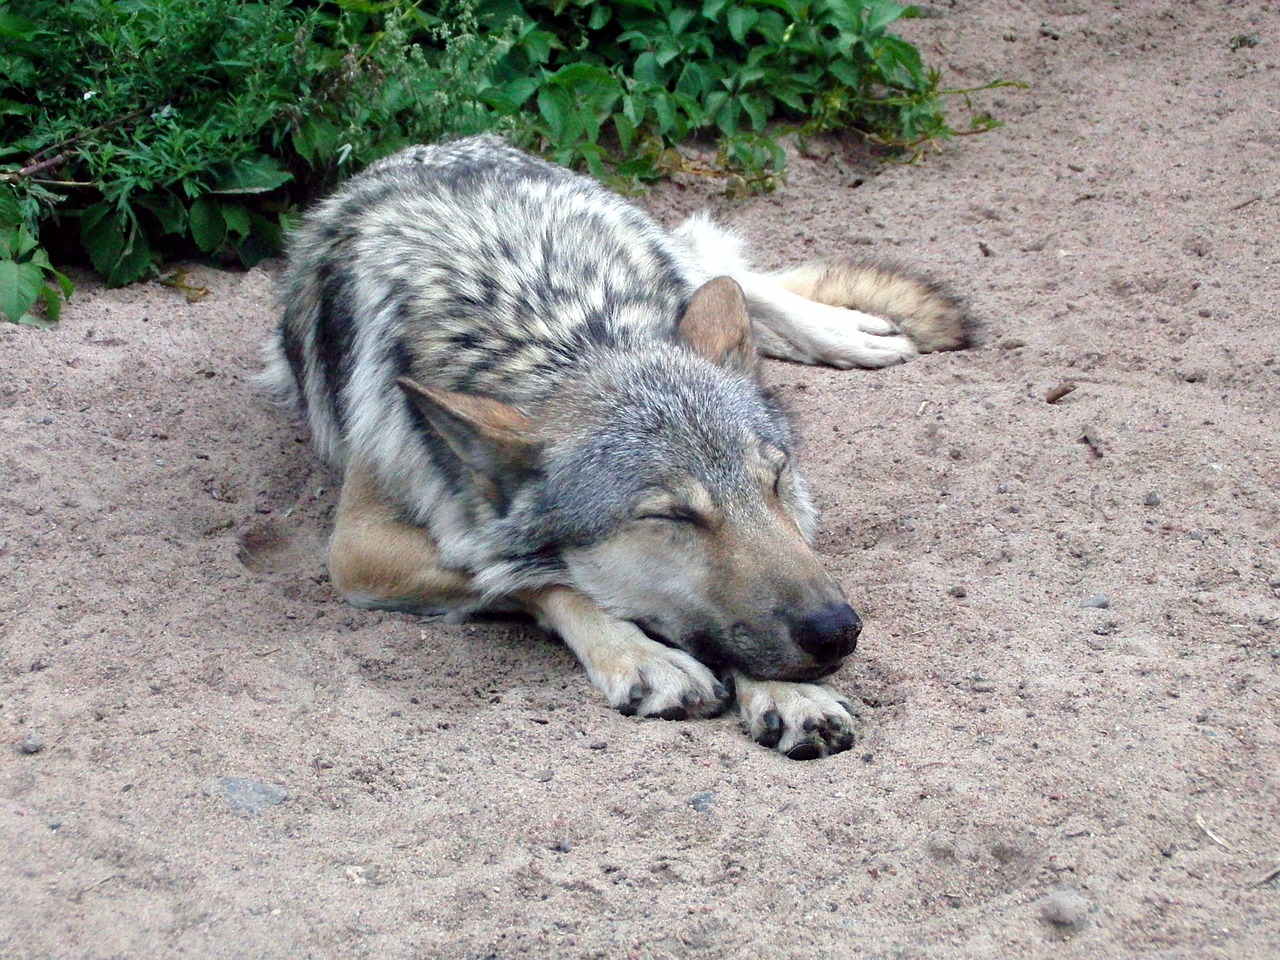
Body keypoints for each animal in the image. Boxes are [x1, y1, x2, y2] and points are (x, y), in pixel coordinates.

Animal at [262, 135, 962, 762]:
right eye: (672, 516)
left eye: (774, 481)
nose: (837, 632)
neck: (568, 332)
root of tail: (424, 148)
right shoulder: (359, 550)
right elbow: (539, 575)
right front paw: (644, 656)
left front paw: (788, 694)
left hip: (662, 243)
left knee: (726, 273)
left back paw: (852, 330)